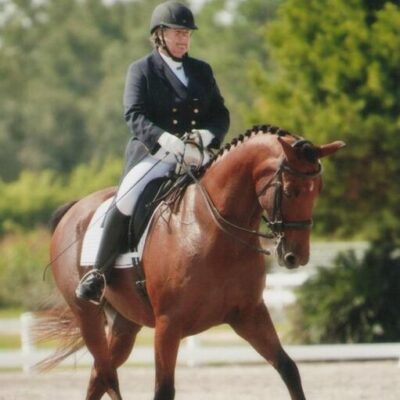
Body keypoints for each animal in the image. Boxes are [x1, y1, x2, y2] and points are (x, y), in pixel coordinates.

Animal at [39, 126, 344, 400]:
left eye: (318, 190)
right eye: (291, 191)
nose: (296, 256)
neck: (213, 230)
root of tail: (75, 208)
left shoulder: (249, 314)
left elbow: (289, 369)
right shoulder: (168, 324)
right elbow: (163, 390)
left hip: (125, 324)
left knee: (99, 378)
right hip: (87, 315)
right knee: (105, 375)